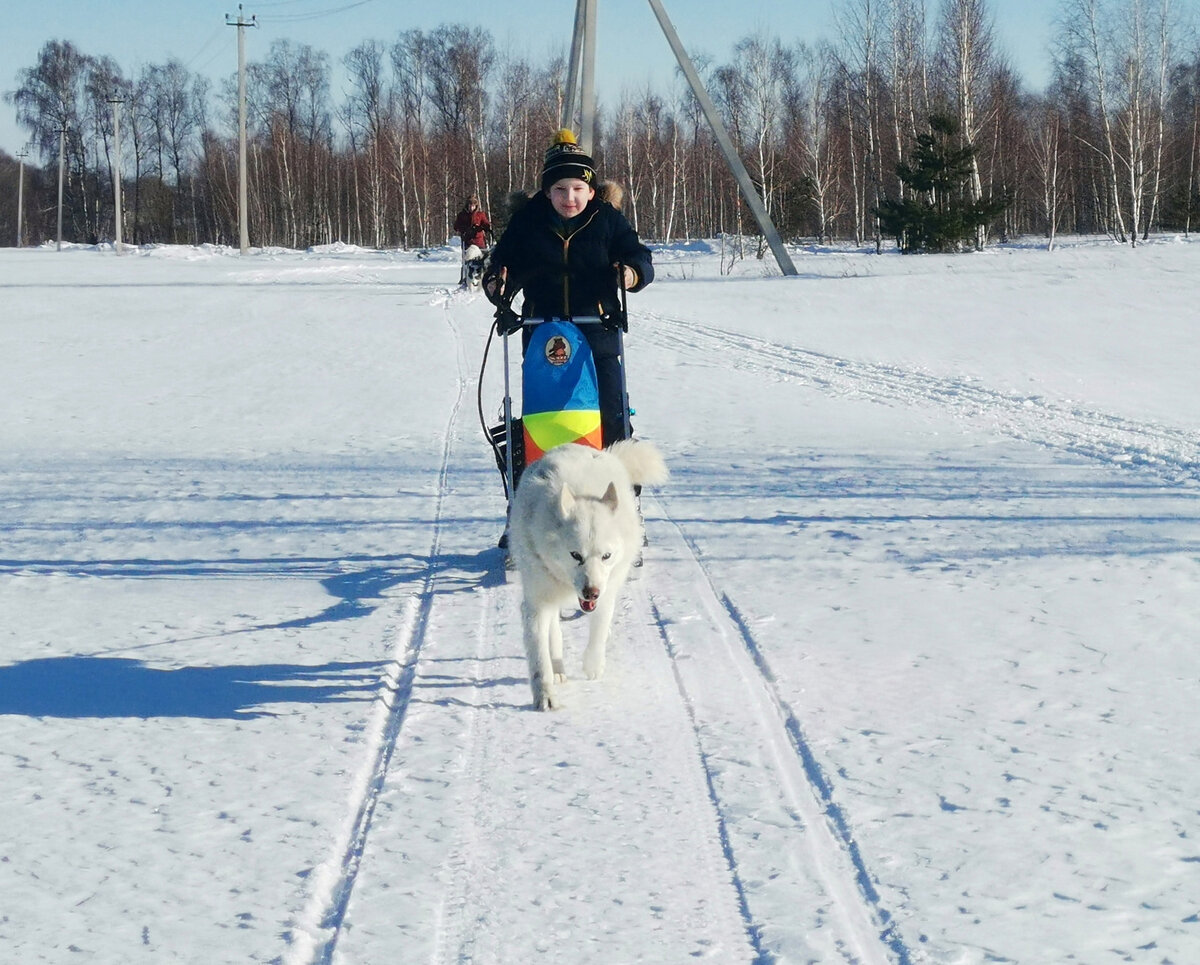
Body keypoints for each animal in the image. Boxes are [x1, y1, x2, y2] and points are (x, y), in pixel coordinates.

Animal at [508, 436, 672, 710]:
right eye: (576, 555)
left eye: (606, 556)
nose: (591, 592)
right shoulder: (537, 602)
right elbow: (539, 656)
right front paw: (545, 695)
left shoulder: (607, 591)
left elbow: (599, 629)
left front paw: (593, 665)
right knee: (554, 630)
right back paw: (558, 668)